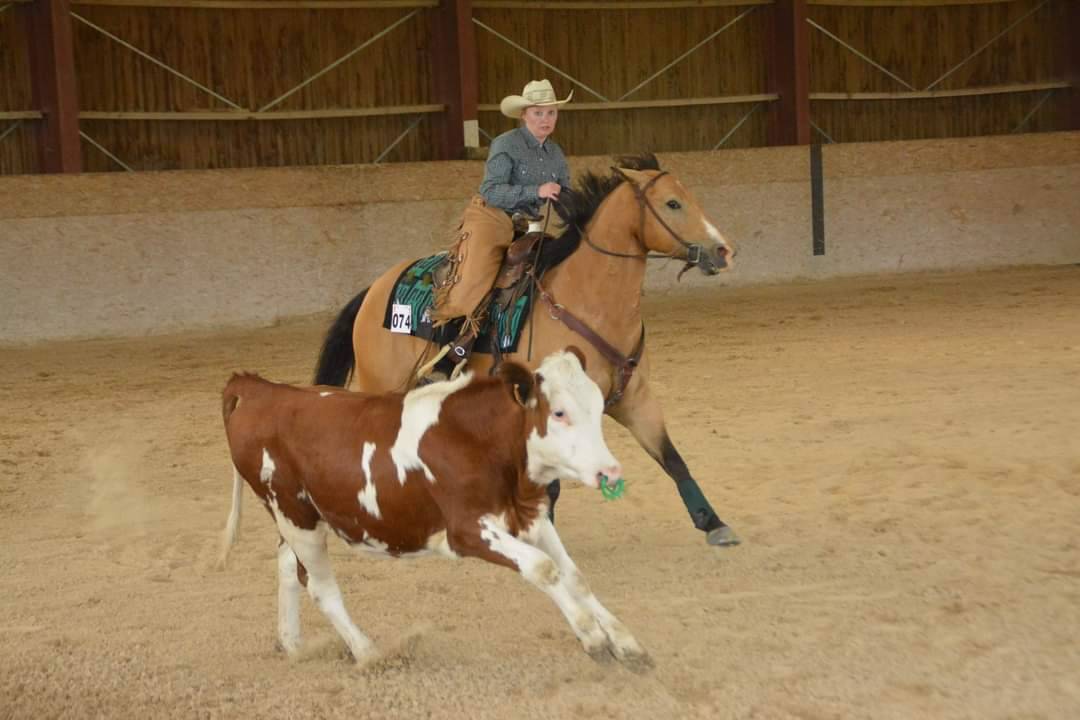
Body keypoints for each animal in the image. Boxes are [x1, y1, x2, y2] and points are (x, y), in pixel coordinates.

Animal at [313, 154, 740, 546]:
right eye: (672, 203)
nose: (723, 251)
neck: (588, 301)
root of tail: (374, 289)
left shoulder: (636, 400)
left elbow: (672, 458)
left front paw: (712, 522)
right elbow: (550, 481)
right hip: (381, 381)